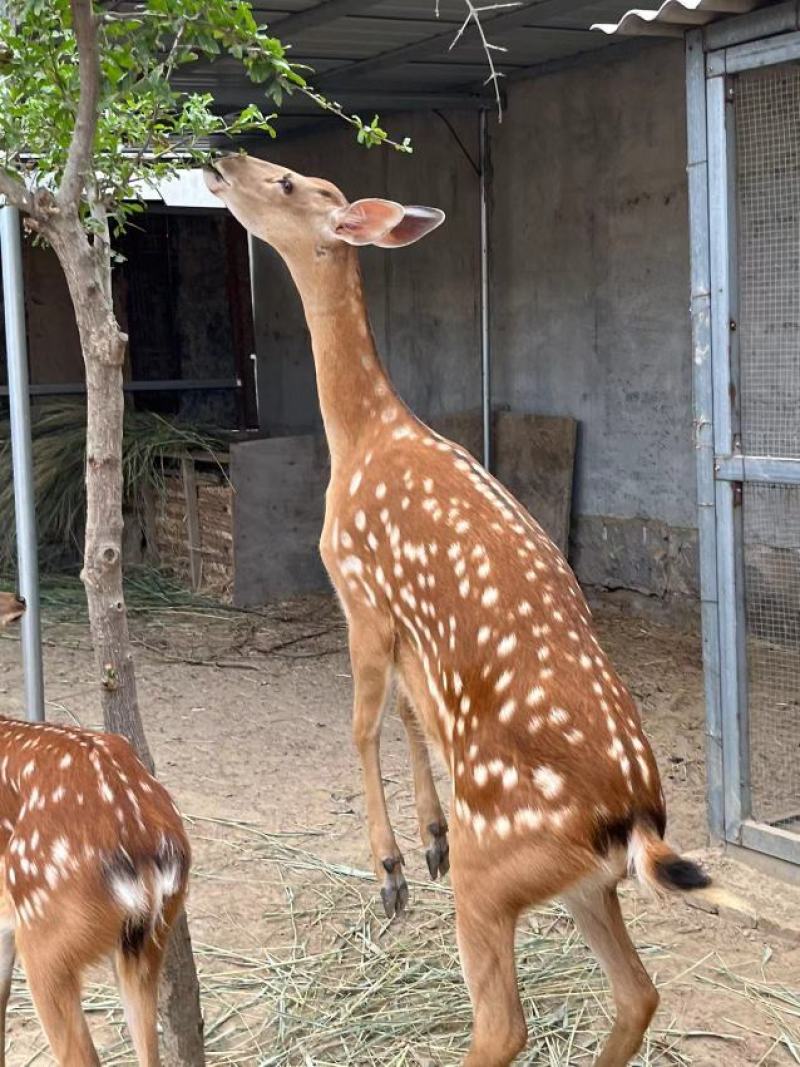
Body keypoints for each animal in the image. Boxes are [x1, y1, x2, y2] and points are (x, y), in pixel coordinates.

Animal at [205, 155, 713, 1067]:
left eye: (291, 182)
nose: (223, 159)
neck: (363, 436)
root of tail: (633, 824)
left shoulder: (360, 589)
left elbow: (361, 723)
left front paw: (392, 868)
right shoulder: (409, 633)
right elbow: (411, 712)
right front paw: (429, 836)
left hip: (499, 872)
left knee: (504, 1023)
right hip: (579, 887)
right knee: (638, 991)